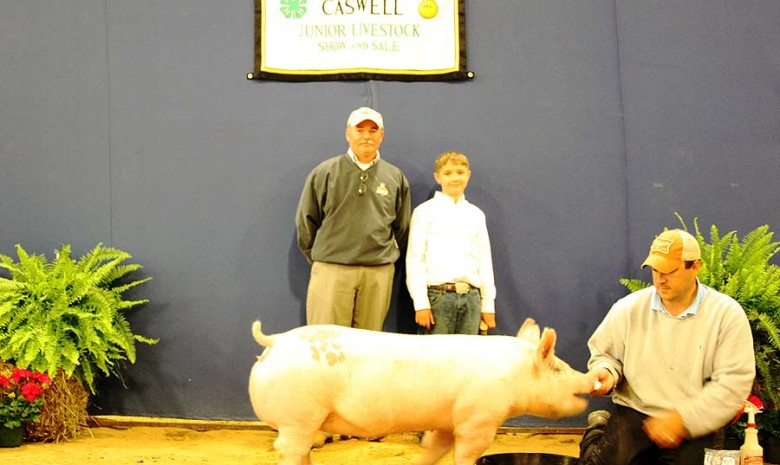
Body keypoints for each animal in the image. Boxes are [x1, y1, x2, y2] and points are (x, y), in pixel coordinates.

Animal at [248, 320, 592, 464]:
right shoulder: (479, 419)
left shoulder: (447, 422)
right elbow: (467, 453)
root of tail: (276, 341)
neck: (514, 375)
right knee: (288, 449)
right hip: (298, 417)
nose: (591, 378)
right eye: (558, 369)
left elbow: (434, 448)